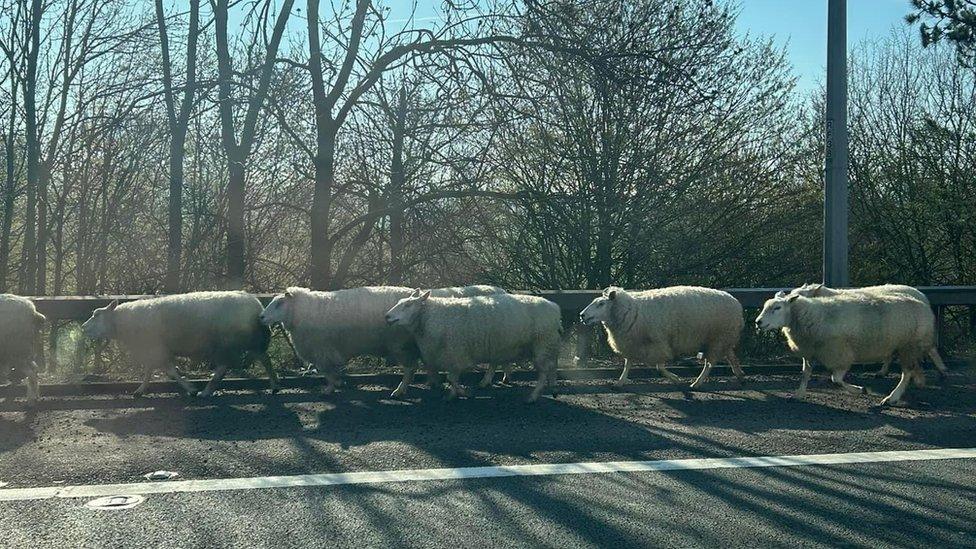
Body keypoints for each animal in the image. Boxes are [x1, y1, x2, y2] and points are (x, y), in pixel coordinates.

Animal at [81, 288, 274, 396]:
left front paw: (191, 389)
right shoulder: (153, 349)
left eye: (97, 315)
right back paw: (275, 385)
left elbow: (171, 372)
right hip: (244, 342)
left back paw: (206, 392)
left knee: (225, 367)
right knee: (264, 359)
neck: (123, 322)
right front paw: (140, 390)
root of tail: (257, 304)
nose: (83, 327)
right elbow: (149, 371)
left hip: (230, 342)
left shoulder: (156, 348)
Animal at [384, 292, 560, 402]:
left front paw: (464, 393)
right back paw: (553, 388)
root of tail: (554, 307)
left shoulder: (456, 352)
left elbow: (451, 378)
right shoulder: (452, 355)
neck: (431, 316)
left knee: (544, 371)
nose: (387, 316)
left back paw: (533, 396)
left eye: (408, 305)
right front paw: (453, 394)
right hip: (545, 344)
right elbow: (452, 378)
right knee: (551, 366)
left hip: (543, 343)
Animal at [576, 286, 744, 390]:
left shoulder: (659, 343)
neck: (631, 311)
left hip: (717, 338)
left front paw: (675, 378)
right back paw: (739, 374)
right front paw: (620, 382)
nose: (582, 315)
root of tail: (736, 303)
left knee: (709, 363)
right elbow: (627, 364)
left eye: (601, 304)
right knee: (731, 356)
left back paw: (697, 383)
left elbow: (659, 367)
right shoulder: (632, 342)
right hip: (723, 339)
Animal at [756, 294, 932, 404]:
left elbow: (836, 379)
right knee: (912, 369)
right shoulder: (810, 351)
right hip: (906, 346)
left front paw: (860, 390)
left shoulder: (840, 354)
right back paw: (917, 382)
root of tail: (923, 304)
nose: (758, 322)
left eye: (777, 308)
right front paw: (799, 394)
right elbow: (805, 374)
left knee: (906, 372)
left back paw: (892, 398)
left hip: (908, 345)